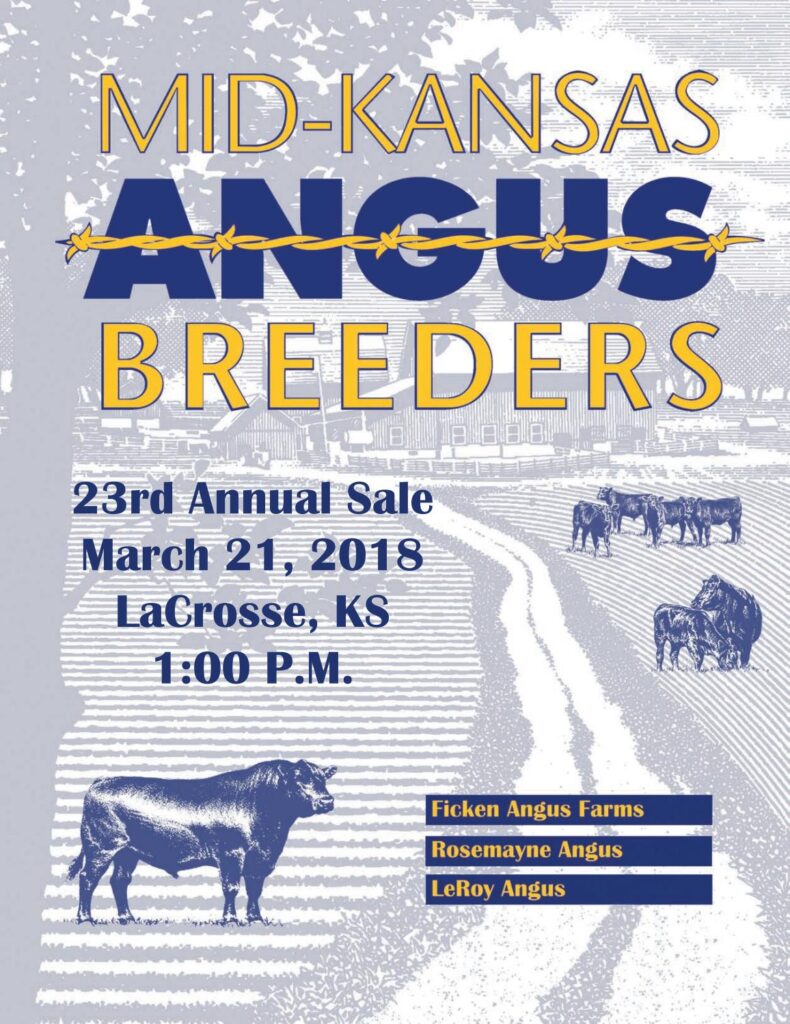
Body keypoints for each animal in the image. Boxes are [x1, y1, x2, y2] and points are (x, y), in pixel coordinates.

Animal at [67, 758, 337, 925]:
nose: (327, 801)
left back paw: (128, 918)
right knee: (88, 878)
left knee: (119, 881)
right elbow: (231, 887)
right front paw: (230, 919)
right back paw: (86, 918)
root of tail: (102, 780)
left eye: (323, 779)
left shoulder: (260, 858)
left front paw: (256, 918)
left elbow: (254, 888)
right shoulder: (231, 854)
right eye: (299, 779)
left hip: (127, 852)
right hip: (101, 847)